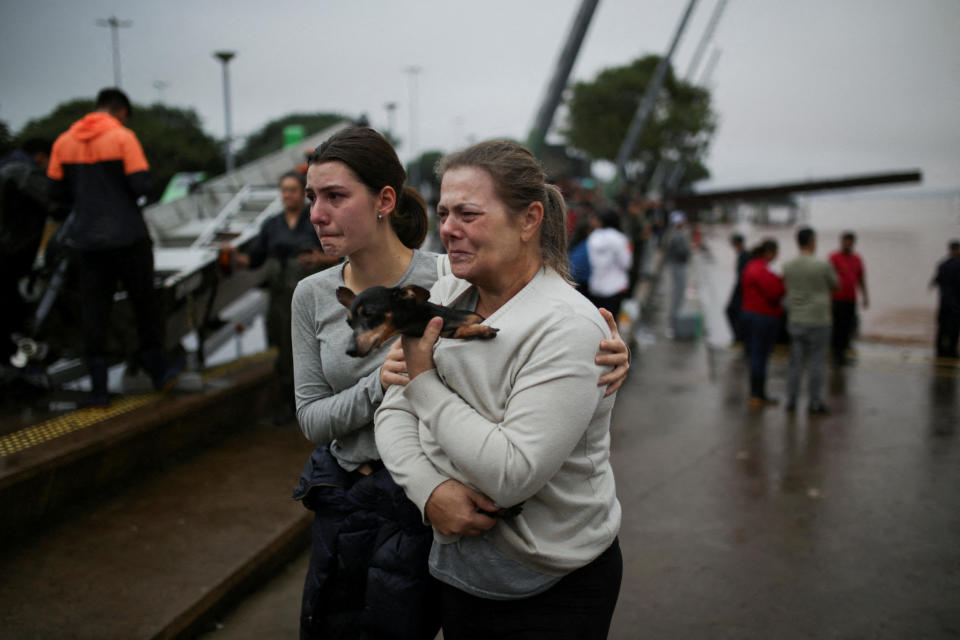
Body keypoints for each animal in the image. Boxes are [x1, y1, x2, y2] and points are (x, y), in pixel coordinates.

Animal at [336, 286, 498, 358]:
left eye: (369, 314)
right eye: (349, 323)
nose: (350, 351)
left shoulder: (474, 317)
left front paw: (482, 329)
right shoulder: (445, 333)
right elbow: (459, 331)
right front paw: (482, 330)